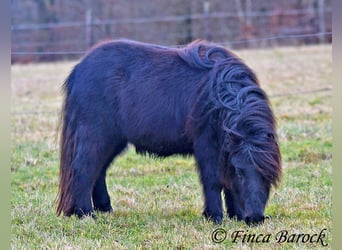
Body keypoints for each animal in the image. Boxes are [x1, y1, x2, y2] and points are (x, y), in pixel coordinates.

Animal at [56, 39, 280, 225]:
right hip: (96, 135)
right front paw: (215, 217)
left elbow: (227, 181)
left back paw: (105, 208)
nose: (254, 218)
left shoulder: (224, 149)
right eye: (240, 171)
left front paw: (235, 215)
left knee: (99, 170)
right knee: (84, 168)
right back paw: (85, 213)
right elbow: (213, 180)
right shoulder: (206, 147)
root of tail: (79, 69)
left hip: (114, 140)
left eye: (268, 174)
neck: (217, 95)